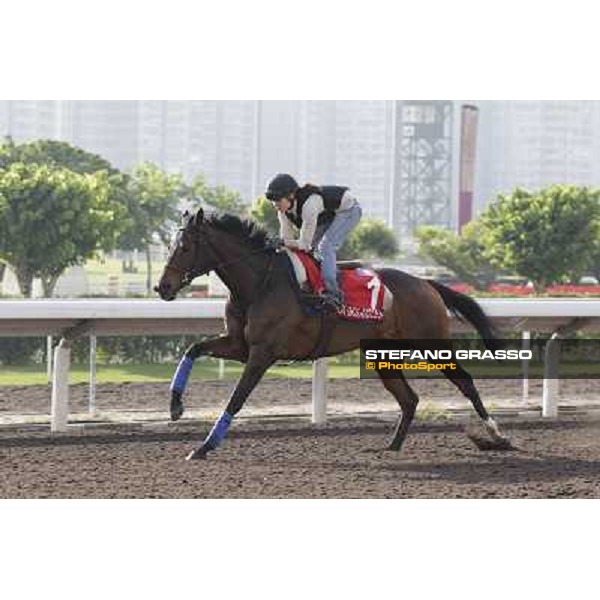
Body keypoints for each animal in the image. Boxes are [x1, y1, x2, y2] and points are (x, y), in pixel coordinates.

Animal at [154, 209, 510, 462]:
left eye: (184, 247)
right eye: (168, 246)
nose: (162, 287)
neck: (258, 285)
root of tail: (427, 284)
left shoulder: (262, 353)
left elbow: (236, 398)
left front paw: (205, 446)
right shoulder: (239, 345)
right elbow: (192, 349)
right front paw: (175, 406)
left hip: (431, 344)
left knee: (464, 381)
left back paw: (498, 436)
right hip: (383, 354)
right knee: (409, 399)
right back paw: (391, 447)